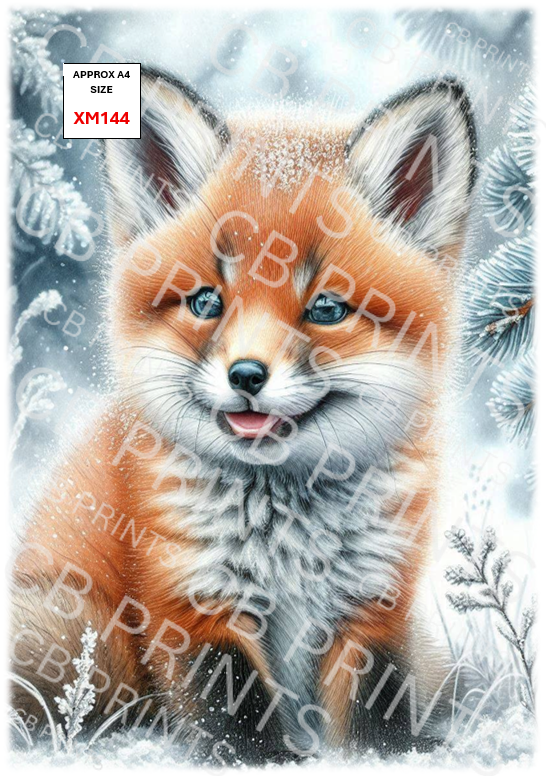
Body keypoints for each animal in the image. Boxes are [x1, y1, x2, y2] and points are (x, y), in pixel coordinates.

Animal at [11, 67, 477, 763]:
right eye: (207, 301)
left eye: (327, 309)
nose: (247, 376)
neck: (288, 533)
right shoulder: (190, 603)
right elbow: (240, 721)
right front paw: (278, 759)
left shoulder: (374, 605)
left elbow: (377, 718)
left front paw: (381, 756)